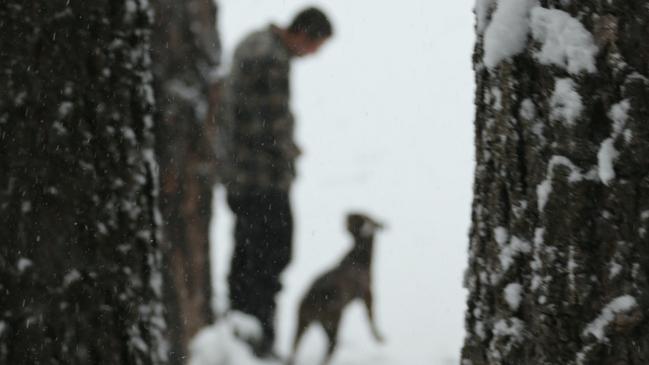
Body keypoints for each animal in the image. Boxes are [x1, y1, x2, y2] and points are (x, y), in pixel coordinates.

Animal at [286, 212, 382, 362]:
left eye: (356, 216)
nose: (347, 212)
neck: (359, 256)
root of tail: (316, 296)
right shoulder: (368, 294)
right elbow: (371, 318)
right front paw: (380, 338)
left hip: (302, 318)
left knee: (295, 346)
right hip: (332, 321)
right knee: (332, 346)